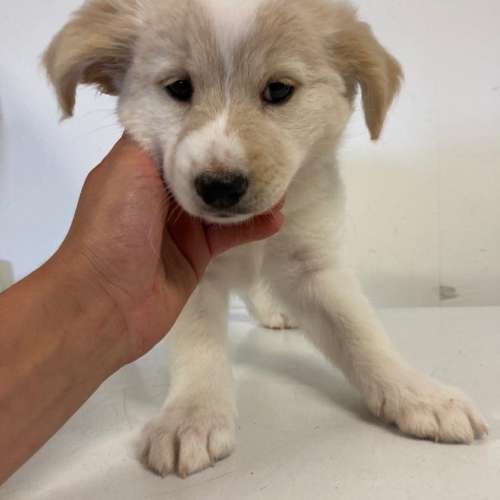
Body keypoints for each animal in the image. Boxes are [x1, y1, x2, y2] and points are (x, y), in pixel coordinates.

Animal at [44, 0, 488, 478]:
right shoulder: (189, 276)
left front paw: (420, 395)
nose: (220, 186)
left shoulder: (312, 266)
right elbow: (199, 345)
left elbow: (361, 334)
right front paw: (192, 417)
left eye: (278, 91)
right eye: (179, 87)